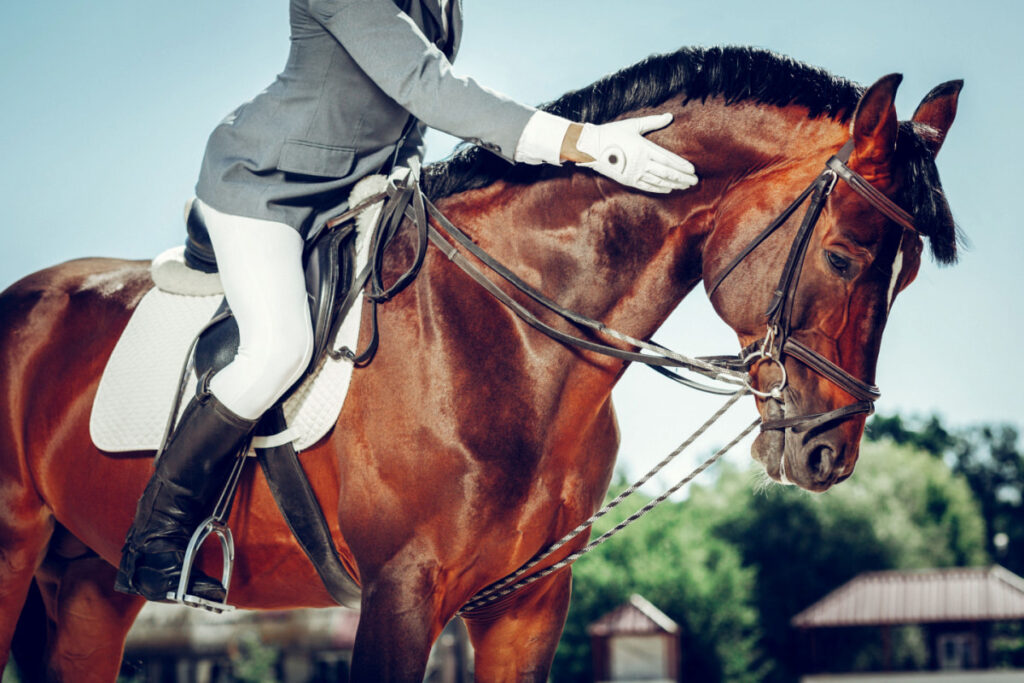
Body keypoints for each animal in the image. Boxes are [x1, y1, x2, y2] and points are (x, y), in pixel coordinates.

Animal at [0, 46, 958, 679]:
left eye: (908, 275)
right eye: (842, 255)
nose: (828, 452)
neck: (516, 341)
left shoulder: (526, 603)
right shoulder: (401, 592)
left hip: (88, 584)